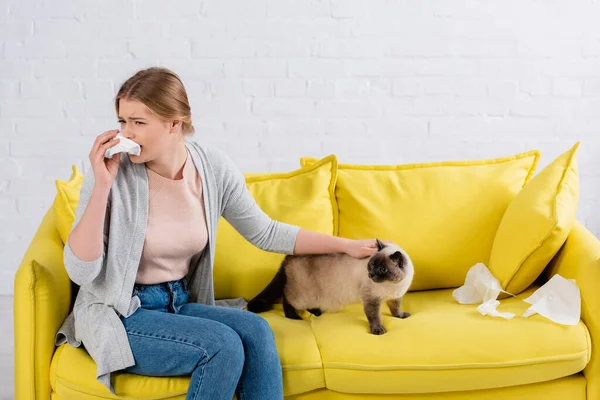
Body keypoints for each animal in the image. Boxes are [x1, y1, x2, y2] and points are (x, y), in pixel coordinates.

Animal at [247, 239, 412, 336]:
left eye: (383, 270)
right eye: (371, 266)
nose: (371, 275)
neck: (392, 285)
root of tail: (289, 257)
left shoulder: (395, 297)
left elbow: (396, 309)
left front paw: (401, 316)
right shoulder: (371, 299)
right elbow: (374, 317)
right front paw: (378, 331)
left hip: (316, 298)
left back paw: (316, 312)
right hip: (303, 296)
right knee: (286, 297)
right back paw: (293, 317)